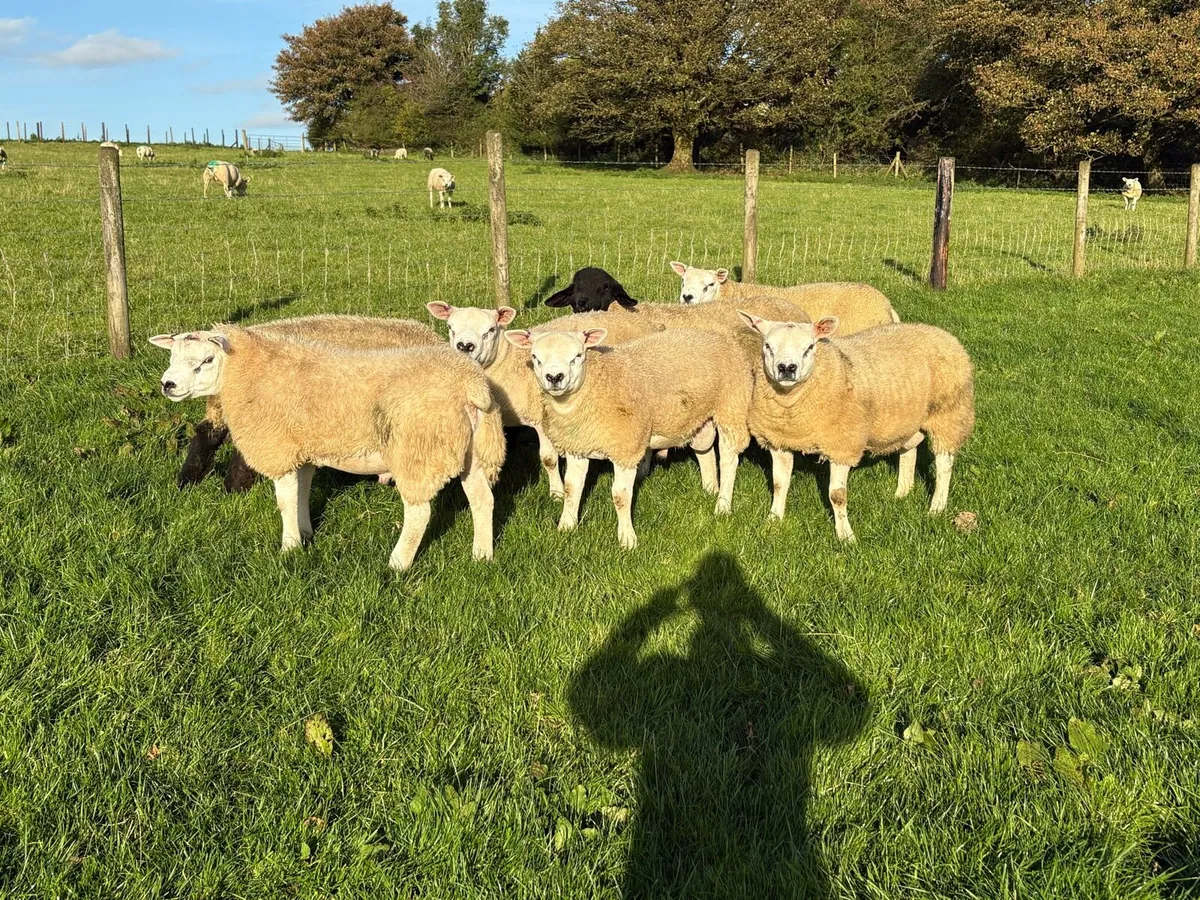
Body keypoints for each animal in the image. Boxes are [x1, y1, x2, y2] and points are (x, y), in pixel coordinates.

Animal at [425, 303, 663, 498]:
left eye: (490, 330)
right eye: (450, 327)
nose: (465, 346)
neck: (506, 361)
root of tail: (645, 322)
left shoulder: (542, 419)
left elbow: (548, 459)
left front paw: (556, 493)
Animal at [504, 327, 753, 550]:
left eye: (578, 355)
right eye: (535, 357)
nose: (554, 377)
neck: (595, 385)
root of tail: (720, 336)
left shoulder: (625, 447)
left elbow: (620, 496)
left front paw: (627, 540)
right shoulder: (578, 444)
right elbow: (571, 487)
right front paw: (566, 526)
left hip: (732, 405)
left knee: (729, 460)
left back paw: (722, 505)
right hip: (699, 415)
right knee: (704, 450)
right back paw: (710, 488)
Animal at [738, 312, 975, 542]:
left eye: (810, 347)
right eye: (767, 345)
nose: (787, 368)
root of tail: (939, 332)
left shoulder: (842, 444)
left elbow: (836, 495)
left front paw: (846, 536)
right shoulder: (779, 440)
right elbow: (779, 484)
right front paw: (773, 521)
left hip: (949, 414)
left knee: (944, 465)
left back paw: (936, 508)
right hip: (907, 418)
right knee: (909, 451)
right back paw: (902, 493)